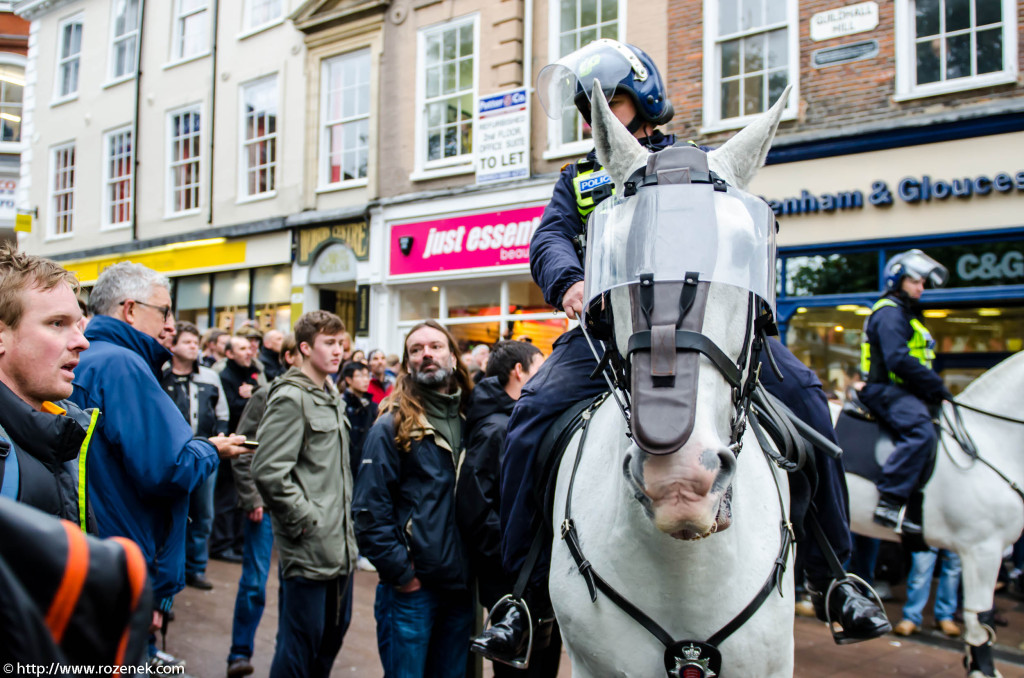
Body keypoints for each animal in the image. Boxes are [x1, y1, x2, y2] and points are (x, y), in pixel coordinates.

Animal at [843, 350, 1024, 678]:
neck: (991, 440)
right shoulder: (983, 550)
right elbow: (981, 618)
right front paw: (983, 670)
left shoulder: (977, 551)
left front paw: (974, 665)